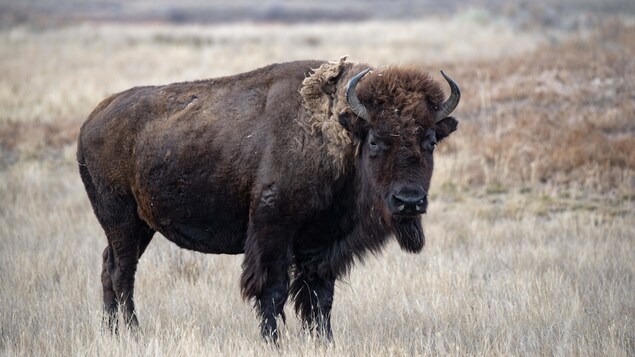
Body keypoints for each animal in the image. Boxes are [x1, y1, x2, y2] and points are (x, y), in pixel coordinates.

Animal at [77, 57, 460, 340]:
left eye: (430, 141)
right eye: (376, 140)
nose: (409, 201)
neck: (338, 133)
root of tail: (93, 119)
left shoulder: (321, 244)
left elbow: (320, 297)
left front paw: (324, 340)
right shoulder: (272, 232)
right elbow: (273, 291)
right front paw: (271, 340)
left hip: (141, 226)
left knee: (109, 266)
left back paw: (111, 332)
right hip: (122, 220)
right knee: (122, 272)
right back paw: (132, 332)